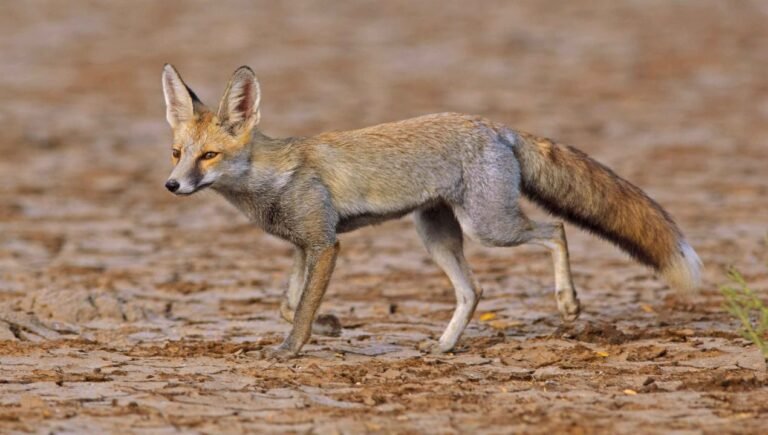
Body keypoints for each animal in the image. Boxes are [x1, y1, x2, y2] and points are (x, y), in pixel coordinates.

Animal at [161, 64, 702, 359]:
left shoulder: (326, 244)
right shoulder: (303, 245)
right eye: (177, 153)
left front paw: (292, 349)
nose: (172, 185)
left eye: (209, 156)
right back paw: (445, 346)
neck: (272, 177)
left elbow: (300, 312)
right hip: (436, 235)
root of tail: (494, 125)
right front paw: (332, 324)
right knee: (474, 290)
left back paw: (568, 302)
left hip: (490, 227)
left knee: (555, 230)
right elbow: (288, 304)